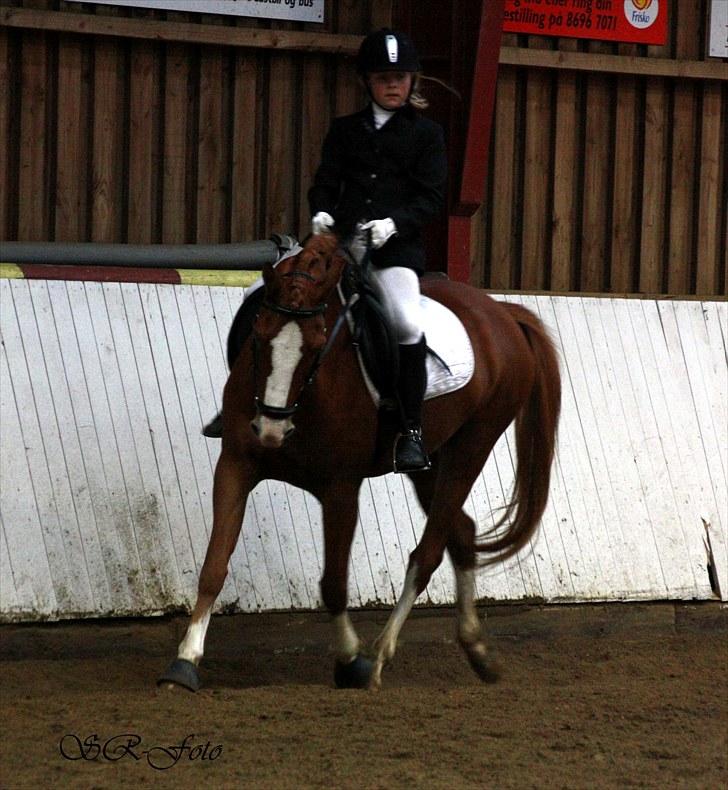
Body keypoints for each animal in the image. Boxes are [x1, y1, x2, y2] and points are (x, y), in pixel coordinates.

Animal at [158, 234, 556, 692]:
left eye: (317, 345)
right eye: (258, 332)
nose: (272, 431)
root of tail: (502, 312)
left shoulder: (341, 487)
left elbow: (333, 582)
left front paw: (351, 660)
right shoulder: (236, 465)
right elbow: (213, 566)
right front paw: (184, 661)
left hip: (471, 447)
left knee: (428, 553)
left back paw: (380, 655)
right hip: (432, 464)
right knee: (462, 533)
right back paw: (477, 649)